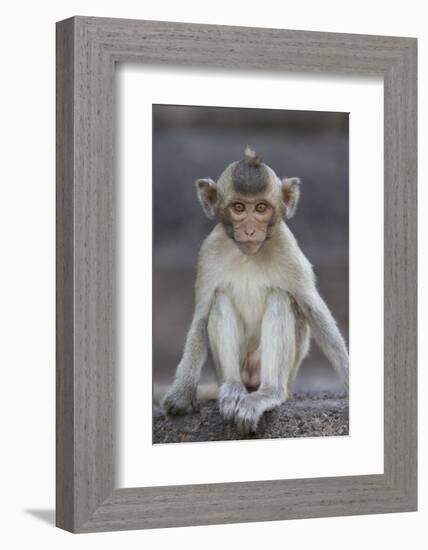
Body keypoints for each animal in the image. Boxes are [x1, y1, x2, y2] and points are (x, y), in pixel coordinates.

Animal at [163, 148, 348, 436]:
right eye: (239, 207)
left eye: (261, 208)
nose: (250, 230)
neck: (248, 254)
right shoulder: (209, 252)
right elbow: (202, 316)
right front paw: (181, 394)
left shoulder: (287, 248)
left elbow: (315, 311)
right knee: (220, 300)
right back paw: (232, 390)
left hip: (285, 373)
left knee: (281, 298)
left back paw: (268, 394)